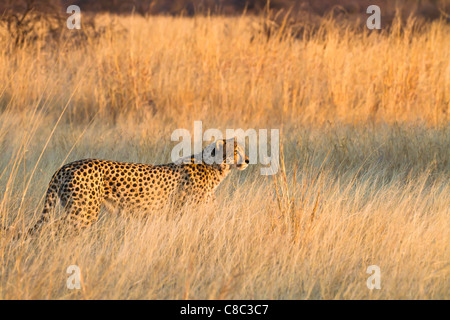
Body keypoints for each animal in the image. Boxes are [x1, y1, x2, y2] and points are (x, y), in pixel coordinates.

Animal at [25, 137, 248, 235]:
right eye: (235, 151)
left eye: (243, 150)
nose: (247, 160)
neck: (216, 169)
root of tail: (67, 165)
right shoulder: (182, 213)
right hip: (82, 212)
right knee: (54, 229)